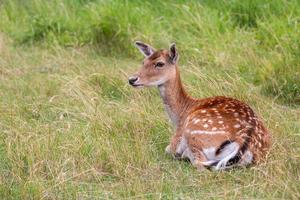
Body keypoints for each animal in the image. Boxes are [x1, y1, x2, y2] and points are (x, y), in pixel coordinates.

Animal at [127, 41, 270, 170]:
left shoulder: (176, 139)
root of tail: (244, 142)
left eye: (160, 63)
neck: (179, 115)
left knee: (199, 163)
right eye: (143, 62)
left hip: (194, 130)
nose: (132, 79)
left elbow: (168, 149)